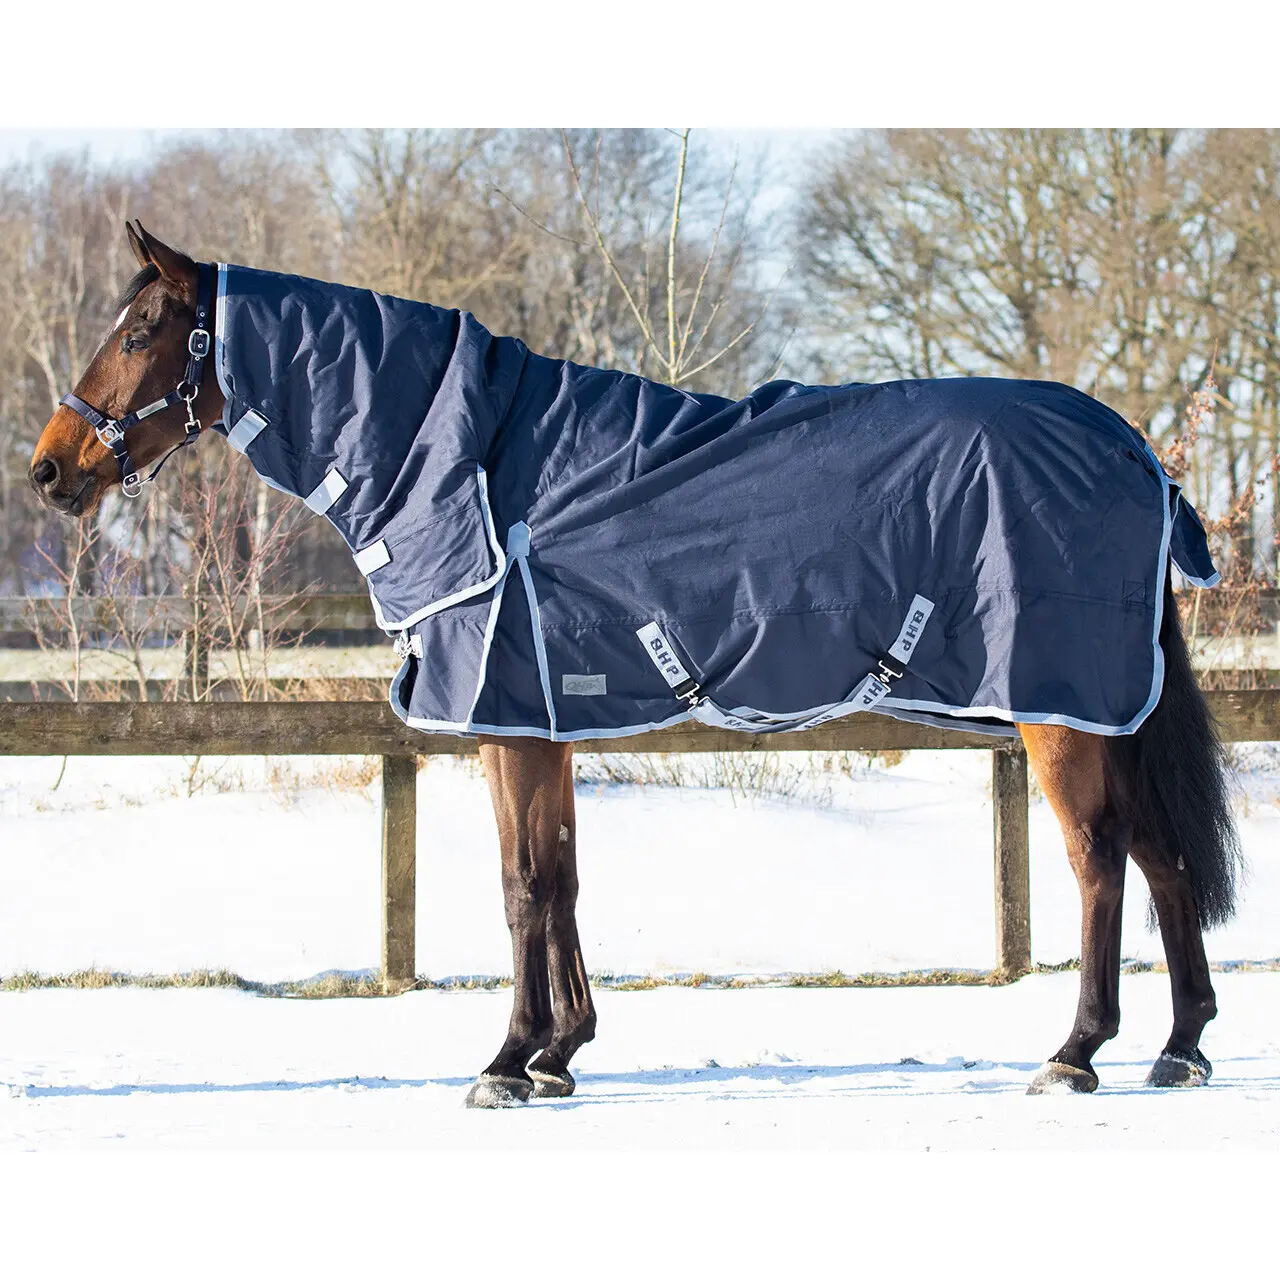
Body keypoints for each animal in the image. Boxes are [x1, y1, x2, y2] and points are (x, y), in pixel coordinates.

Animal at [28, 222, 1241, 1107]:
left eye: (142, 327)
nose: (49, 467)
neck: (480, 470)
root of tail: (1135, 451)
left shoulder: (509, 724)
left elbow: (520, 886)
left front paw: (505, 1062)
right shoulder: (546, 722)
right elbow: (557, 873)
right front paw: (560, 1052)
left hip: (1060, 709)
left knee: (1099, 859)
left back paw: (1076, 1051)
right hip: (1102, 709)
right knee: (1162, 854)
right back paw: (1178, 1046)